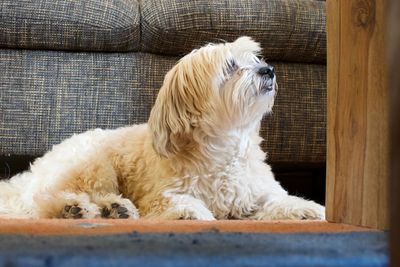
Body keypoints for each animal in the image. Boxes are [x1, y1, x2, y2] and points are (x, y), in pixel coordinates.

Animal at [0, 36, 324, 221]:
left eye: (257, 58)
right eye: (230, 67)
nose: (267, 70)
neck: (224, 148)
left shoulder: (257, 191)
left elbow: (279, 200)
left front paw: (310, 208)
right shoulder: (162, 192)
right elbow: (177, 201)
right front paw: (190, 212)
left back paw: (113, 209)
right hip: (94, 166)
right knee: (44, 201)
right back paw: (75, 208)